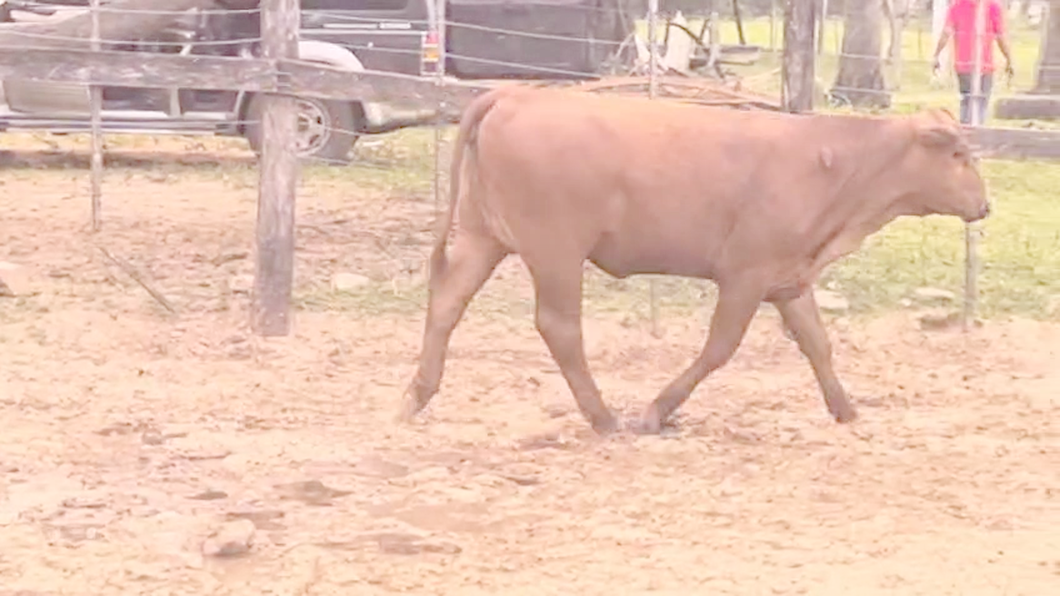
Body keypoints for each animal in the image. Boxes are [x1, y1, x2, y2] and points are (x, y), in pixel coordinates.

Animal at [398, 85, 983, 434]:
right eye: (957, 154)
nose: (985, 204)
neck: (829, 160)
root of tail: (517, 93)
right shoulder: (746, 276)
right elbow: (719, 349)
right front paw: (656, 411)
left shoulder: (788, 279)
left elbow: (818, 344)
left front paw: (845, 409)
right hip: (556, 251)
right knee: (559, 327)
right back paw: (604, 417)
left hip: (483, 238)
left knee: (446, 303)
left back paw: (416, 397)